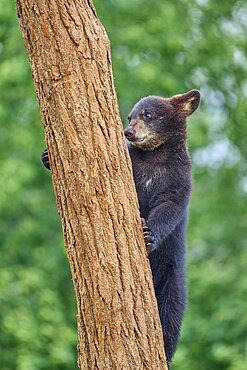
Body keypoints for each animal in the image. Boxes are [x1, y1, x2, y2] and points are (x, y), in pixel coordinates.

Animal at [41, 88, 201, 366]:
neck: (155, 156)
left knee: (170, 322)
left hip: (173, 281)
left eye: (148, 114)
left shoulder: (179, 176)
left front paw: (149, 234)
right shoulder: (134, 166)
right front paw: (48, 156)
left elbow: (170, 206)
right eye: (129, 116)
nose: (129, 132)